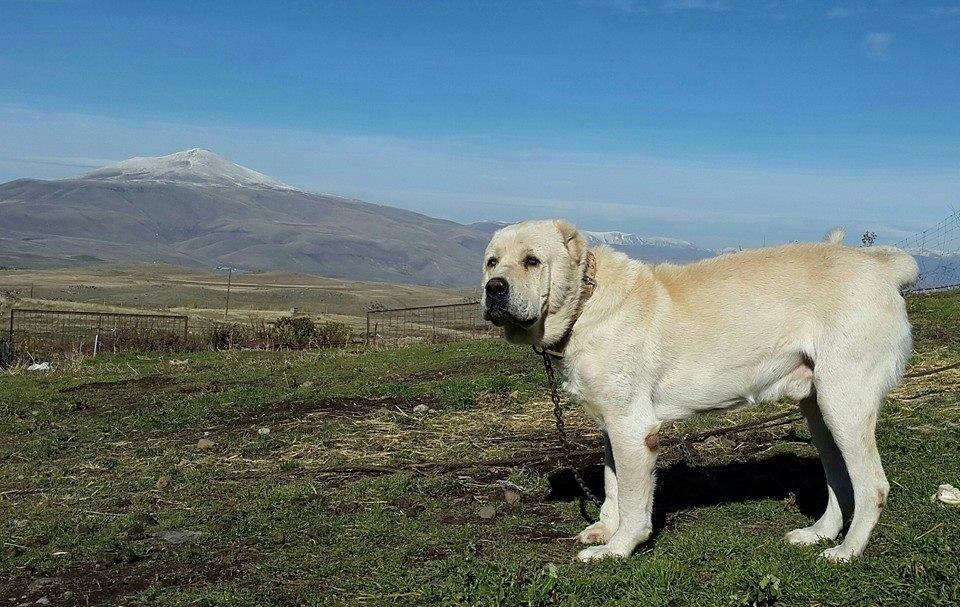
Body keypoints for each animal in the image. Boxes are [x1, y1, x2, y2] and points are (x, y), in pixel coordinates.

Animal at [484, 220, 920, 564]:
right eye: (491, 262)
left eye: (532, 261)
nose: (493, 288)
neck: (585, 303)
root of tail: (880, 266)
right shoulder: (612, 426)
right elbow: (613, 484)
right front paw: (606, 529)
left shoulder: (633, 430)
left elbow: (633, 499)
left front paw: (618, 549)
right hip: (819, 413)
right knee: (840, 482)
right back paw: (818, 534)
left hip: (844, 405)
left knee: (872, 487)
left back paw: (847, 551)